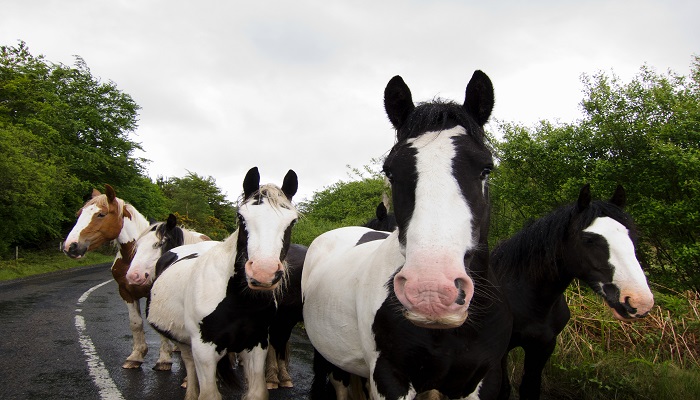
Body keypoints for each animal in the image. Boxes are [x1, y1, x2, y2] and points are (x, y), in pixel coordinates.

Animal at [62, 186, 174, 370]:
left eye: (101, 214)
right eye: (79, 213)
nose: (70, 246)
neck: (133, 257)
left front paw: (164, 359)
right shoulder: (125, 292)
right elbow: (135, 323)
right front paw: (136, 356)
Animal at [146, 166, 300, 400]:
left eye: (292, 221)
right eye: (241, 216)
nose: (263, 272)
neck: (237, 302)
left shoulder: (257, 346)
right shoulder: (204, 351)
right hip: (185, 342)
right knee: (189, 366)